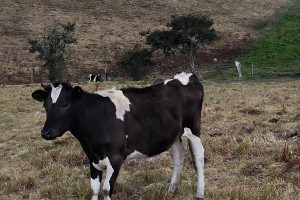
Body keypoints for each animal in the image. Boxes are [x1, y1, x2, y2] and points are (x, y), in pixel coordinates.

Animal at [32, 72, 205, 200]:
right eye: (45, 106)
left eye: (65, 104)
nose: (46, 132)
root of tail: (187, 76)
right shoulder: (93, 159)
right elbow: (94, 189)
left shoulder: (115, 158)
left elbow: (106, 190)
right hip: (173, 134)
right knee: (179, 155)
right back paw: (171, 190)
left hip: (193, 128)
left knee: (199, 156)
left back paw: (199, 192)